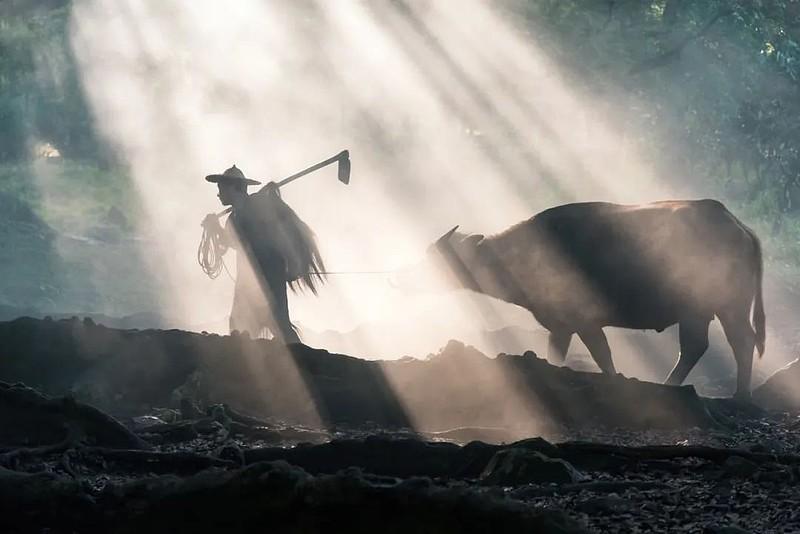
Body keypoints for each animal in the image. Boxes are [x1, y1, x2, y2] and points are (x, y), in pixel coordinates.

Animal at [404, 200, 764, 398]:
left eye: (441, 259)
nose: (400, 277)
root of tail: (741, 228)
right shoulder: (561, 324)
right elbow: (558, 353)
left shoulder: (584, 319)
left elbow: (602, 353)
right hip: (708, 311)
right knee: (706, 345)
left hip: (719, 308)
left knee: (730, 342)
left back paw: (731, 392)